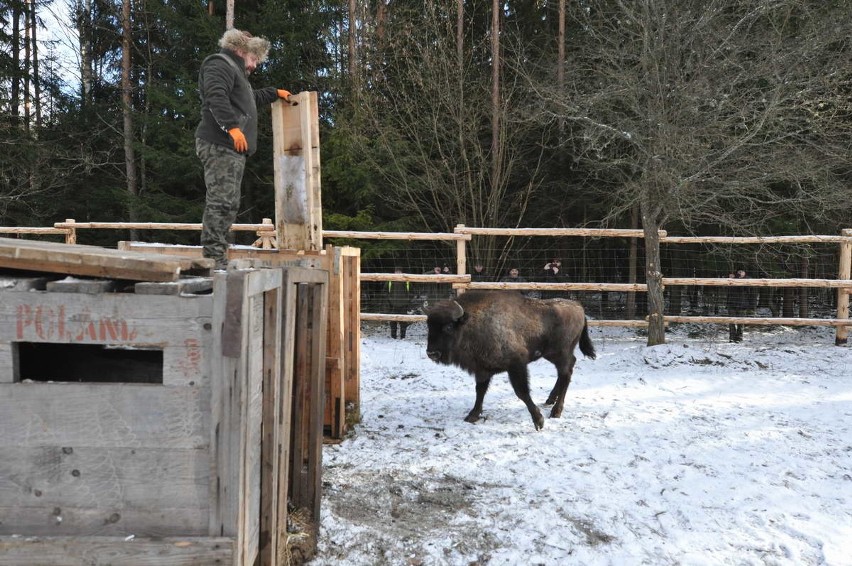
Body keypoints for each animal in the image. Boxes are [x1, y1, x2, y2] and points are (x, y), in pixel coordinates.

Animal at [424, 292, 596, 430]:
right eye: (429, 326)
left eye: (448, 327)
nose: (431, 353)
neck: (471, 323)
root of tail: (578, 307)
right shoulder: (482, 369)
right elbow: (480, 391)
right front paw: (472, 415)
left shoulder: (516, 365)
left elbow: (522, 392)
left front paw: (539, 421)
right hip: (553, 355)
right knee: (565, 371)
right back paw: (550, 400)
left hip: (560, 354)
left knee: (566, 374)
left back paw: (556, 412)